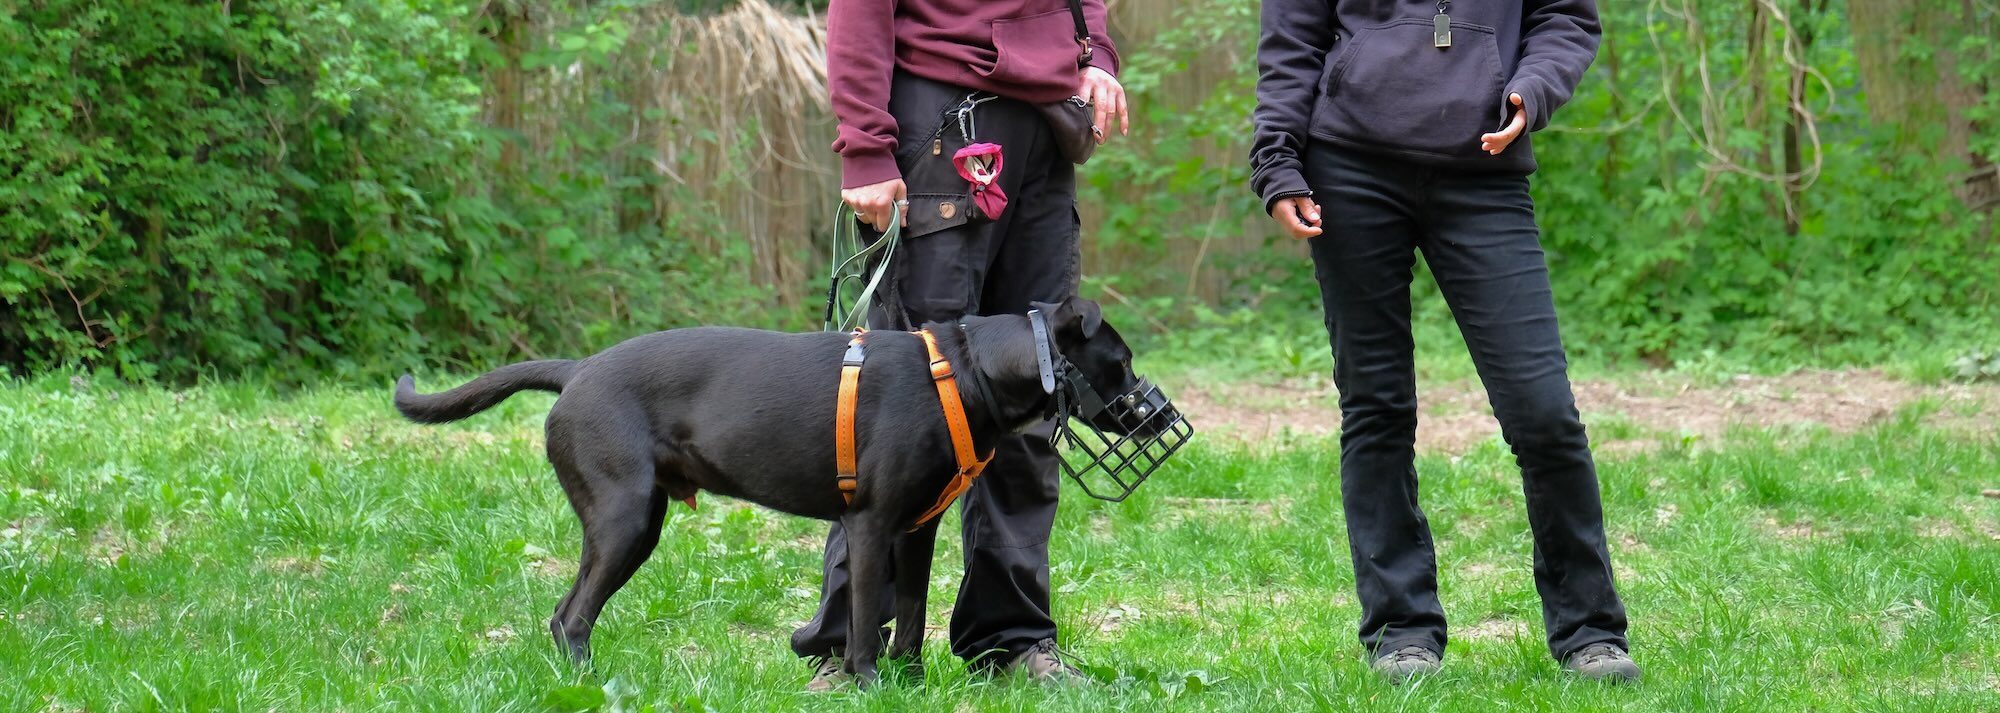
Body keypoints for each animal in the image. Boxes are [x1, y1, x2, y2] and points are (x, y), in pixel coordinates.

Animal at [394, 296, 1160, 684]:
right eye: (1120, 363)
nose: (1156, 416)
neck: (965, 370)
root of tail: (577, 369)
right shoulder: (869, 525)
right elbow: (864, 621)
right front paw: (864, 684)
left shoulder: (917, 530)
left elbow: (911, 617)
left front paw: (910, 686)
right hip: (624, 519)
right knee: (571, 616)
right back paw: (590, 684)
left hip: (631, 523)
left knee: (562, 613)